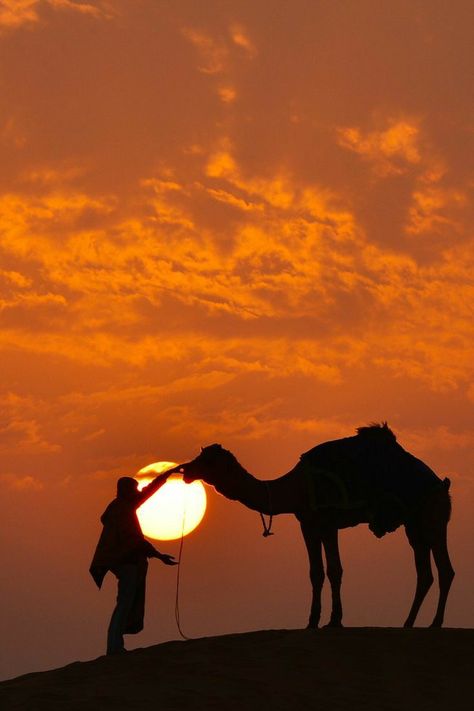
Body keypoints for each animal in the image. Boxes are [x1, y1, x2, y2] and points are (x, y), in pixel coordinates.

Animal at [176, 422, 454, 628]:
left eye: (207, 461)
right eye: (199, 455)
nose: (186, 471)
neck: (296, 486)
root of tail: (442, 485)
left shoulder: (329, 522)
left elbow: (334, 570)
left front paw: (334, 621)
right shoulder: (308, 524)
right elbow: (316, 572)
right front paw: (312, 621)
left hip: (434, 517)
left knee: (445, 569)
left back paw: (435, 623)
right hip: (414, 526)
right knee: (425, 573)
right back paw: (408, 623)